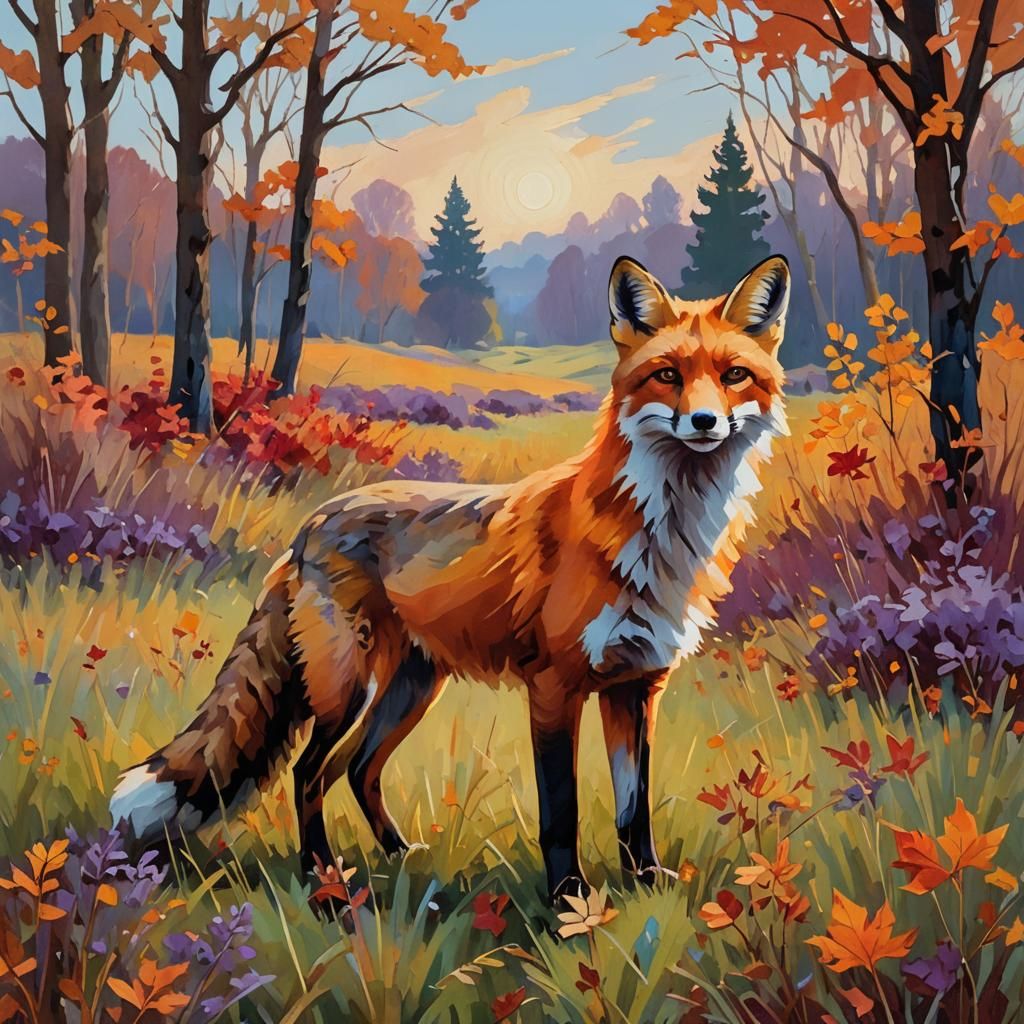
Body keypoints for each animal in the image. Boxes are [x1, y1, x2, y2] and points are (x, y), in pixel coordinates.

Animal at [110, 253, 791, 902]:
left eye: (733, 376)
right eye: (668, 375)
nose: (704, 422)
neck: (660, 533)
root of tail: (314, 521)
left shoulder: (637, 686)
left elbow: (634, 809)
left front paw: (646, 880)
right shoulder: (554, 686)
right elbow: (560, 812)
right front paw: (569, 903)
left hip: (410, 689)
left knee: (355, 770)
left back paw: (397, 856)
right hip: (349, 688)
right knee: (308, 773)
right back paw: (324, 878)